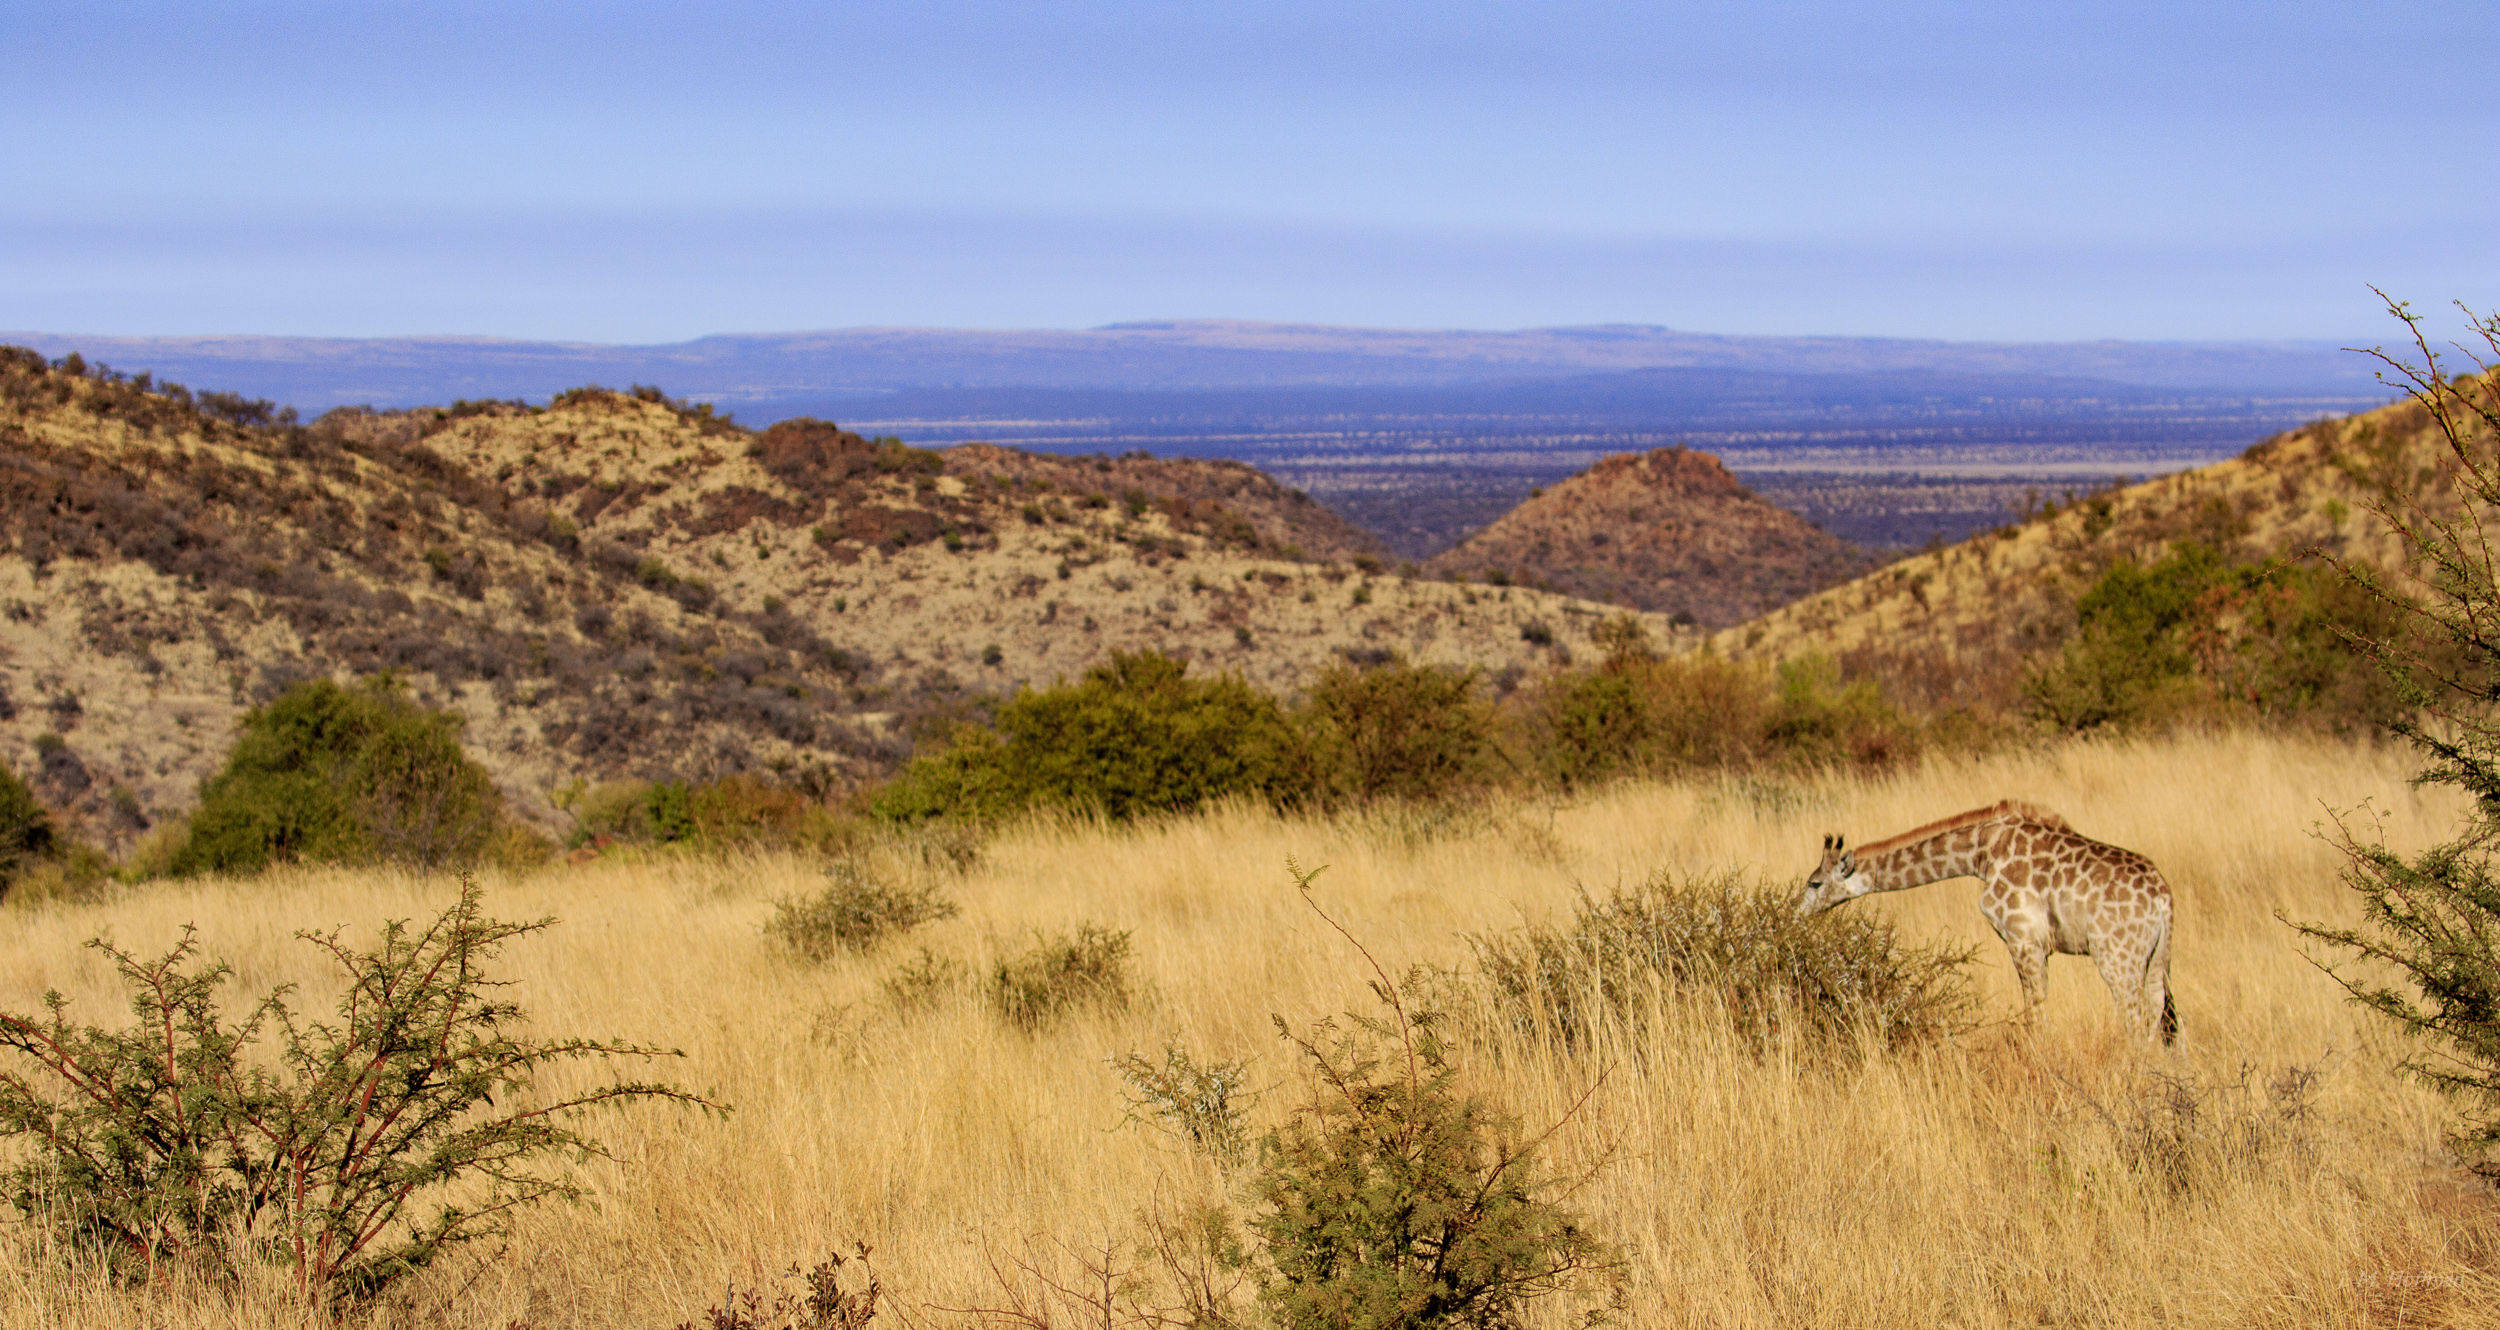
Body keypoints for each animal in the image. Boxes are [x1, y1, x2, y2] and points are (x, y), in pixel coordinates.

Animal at [1797, 800, 2176, 1045]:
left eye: (1814, 883)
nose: (1795, 913)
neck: (1981, 851)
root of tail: (2163, 899)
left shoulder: (2024, 940)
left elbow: (2035, 1012)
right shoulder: (2033, 946)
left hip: (2116, 959)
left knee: (2136, 1020)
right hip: (2157, 959)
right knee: (2162, 1018)